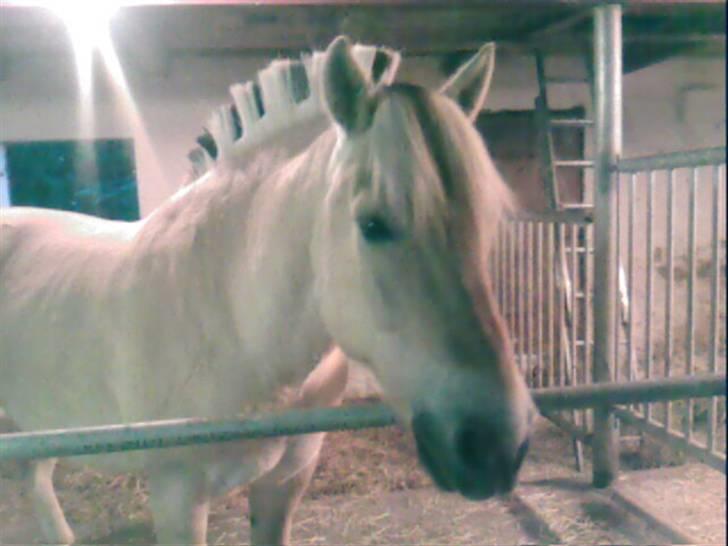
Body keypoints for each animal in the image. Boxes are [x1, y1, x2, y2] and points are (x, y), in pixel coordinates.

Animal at [0, 36, 535, 545]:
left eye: (488, 222)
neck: (234, 319)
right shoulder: (177, 499)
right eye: (372, 223)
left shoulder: (285, 483)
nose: (495, 448)